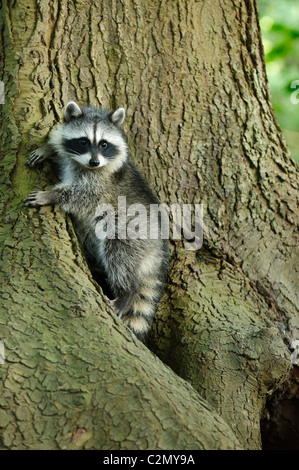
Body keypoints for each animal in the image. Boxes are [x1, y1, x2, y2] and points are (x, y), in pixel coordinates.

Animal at [24, 101, 169, 340]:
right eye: (83, 141)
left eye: (104, 144)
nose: (94, 161)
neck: (84, 165)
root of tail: (159, 250)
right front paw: (50, 148)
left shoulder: (101, 182)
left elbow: (82, 196)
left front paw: (51, 195)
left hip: (134, 230)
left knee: (119, 251)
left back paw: (127, 293)